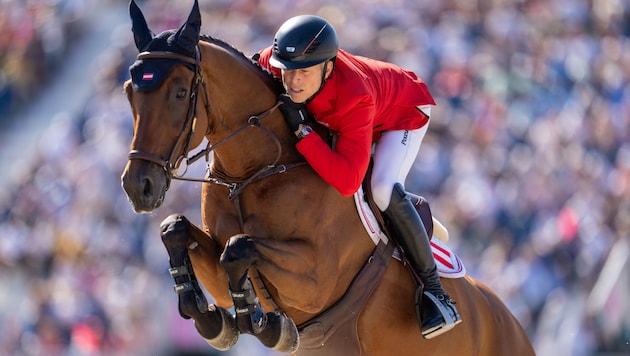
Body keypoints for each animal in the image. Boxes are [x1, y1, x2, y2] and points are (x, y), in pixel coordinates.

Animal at [121, 1, 536, 354]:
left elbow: (239, 248)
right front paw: (213, 319)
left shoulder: (317, 279)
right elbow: (176, 230)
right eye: (129, 92)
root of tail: (512, 322)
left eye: (179, 93)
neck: (254, 172)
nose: (138, 187)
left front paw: (267, 325)